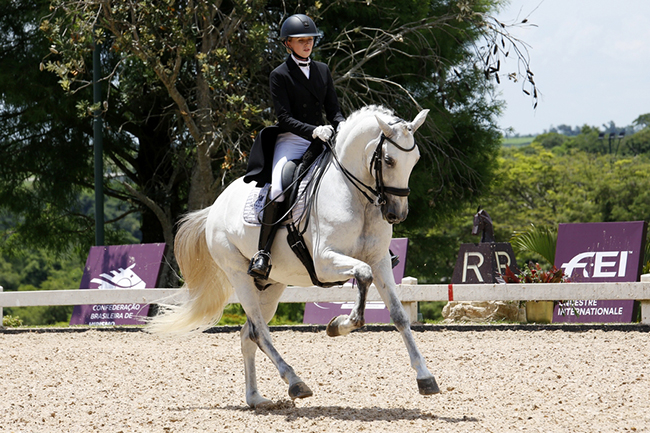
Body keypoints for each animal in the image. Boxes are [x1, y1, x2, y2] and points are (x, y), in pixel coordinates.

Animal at [147, 104, 438, 408]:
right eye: (389, 160)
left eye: (415, 160)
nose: (397, 214)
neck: (355, 196)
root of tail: (215, 206)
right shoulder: (325, 262)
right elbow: (362, 276)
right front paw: (340, 325)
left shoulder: (380, 262)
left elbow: (399, 314)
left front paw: (425, 377)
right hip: (239, 275)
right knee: (259, 332)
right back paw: (296, 382)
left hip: (272, 285)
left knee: (248, 334)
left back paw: (256, 398)